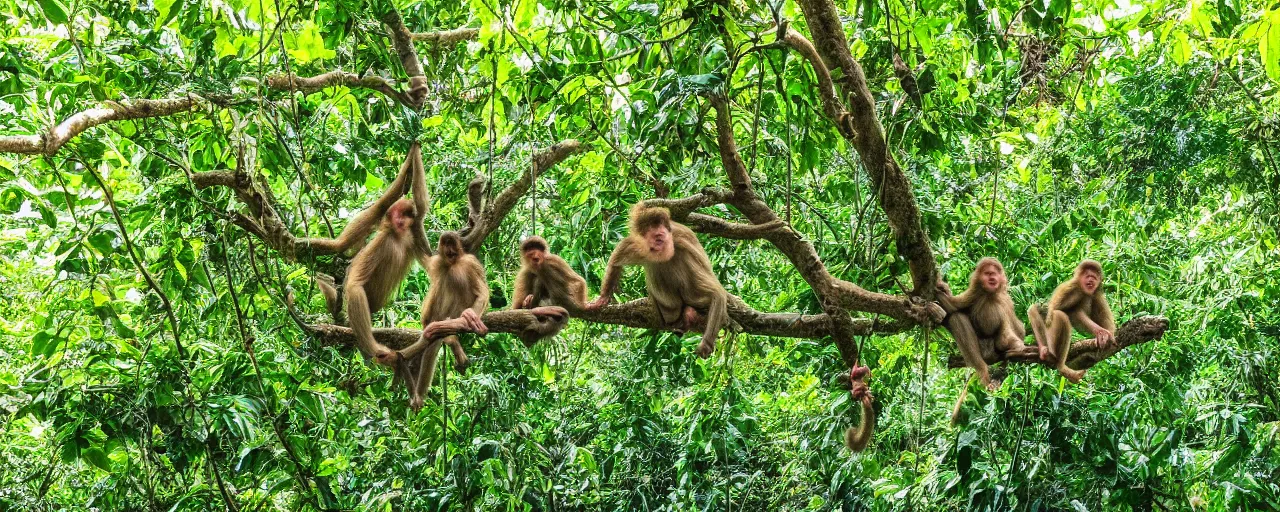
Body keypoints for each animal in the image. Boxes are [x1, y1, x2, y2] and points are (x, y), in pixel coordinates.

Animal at [307, 142, 432, 363]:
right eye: (401, 215)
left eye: (407, 215)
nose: (404, 220)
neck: (397, 237)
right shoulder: (383, 243)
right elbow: (355, 285)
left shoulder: (409, 237)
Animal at [391, 231, 486, 412]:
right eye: (445, 243)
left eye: (452, 243)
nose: (449, 249)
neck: (455, 260)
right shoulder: (437, 262)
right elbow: (423, 254)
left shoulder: (470, 262)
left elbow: (482, 291)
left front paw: (471, 316)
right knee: (443, 280)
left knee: (455, 279)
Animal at [586, 202, 732, 358]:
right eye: (655, 237)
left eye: (660, 236)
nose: (660, 242)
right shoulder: (638, 246)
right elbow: (616, 262)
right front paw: (603, 298)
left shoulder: (682, 247)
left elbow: (716, 293)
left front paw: (706, 344)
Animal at [942, 258, 1029, 389]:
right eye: (988, 273)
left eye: (993, 273)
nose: (992, 278)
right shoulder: (974, 292)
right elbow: (951, 307)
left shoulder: (1005, 297)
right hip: (985, 349)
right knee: (957, 317)